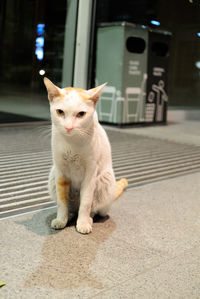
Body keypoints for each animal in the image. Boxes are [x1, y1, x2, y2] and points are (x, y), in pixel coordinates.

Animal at [44, 78, 128, 236]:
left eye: (81, 114)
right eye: (60, 112)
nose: (68, 127)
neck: (71, 142)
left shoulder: (91, 172)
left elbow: (86, 202)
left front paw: (82, 223)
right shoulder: (60, 171)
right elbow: (62, 201)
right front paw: (61, 219)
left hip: (104, 179)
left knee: (93, 209)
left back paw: (87, 218)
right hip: (52, 175)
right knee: (71, 208)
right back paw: (70, 215)